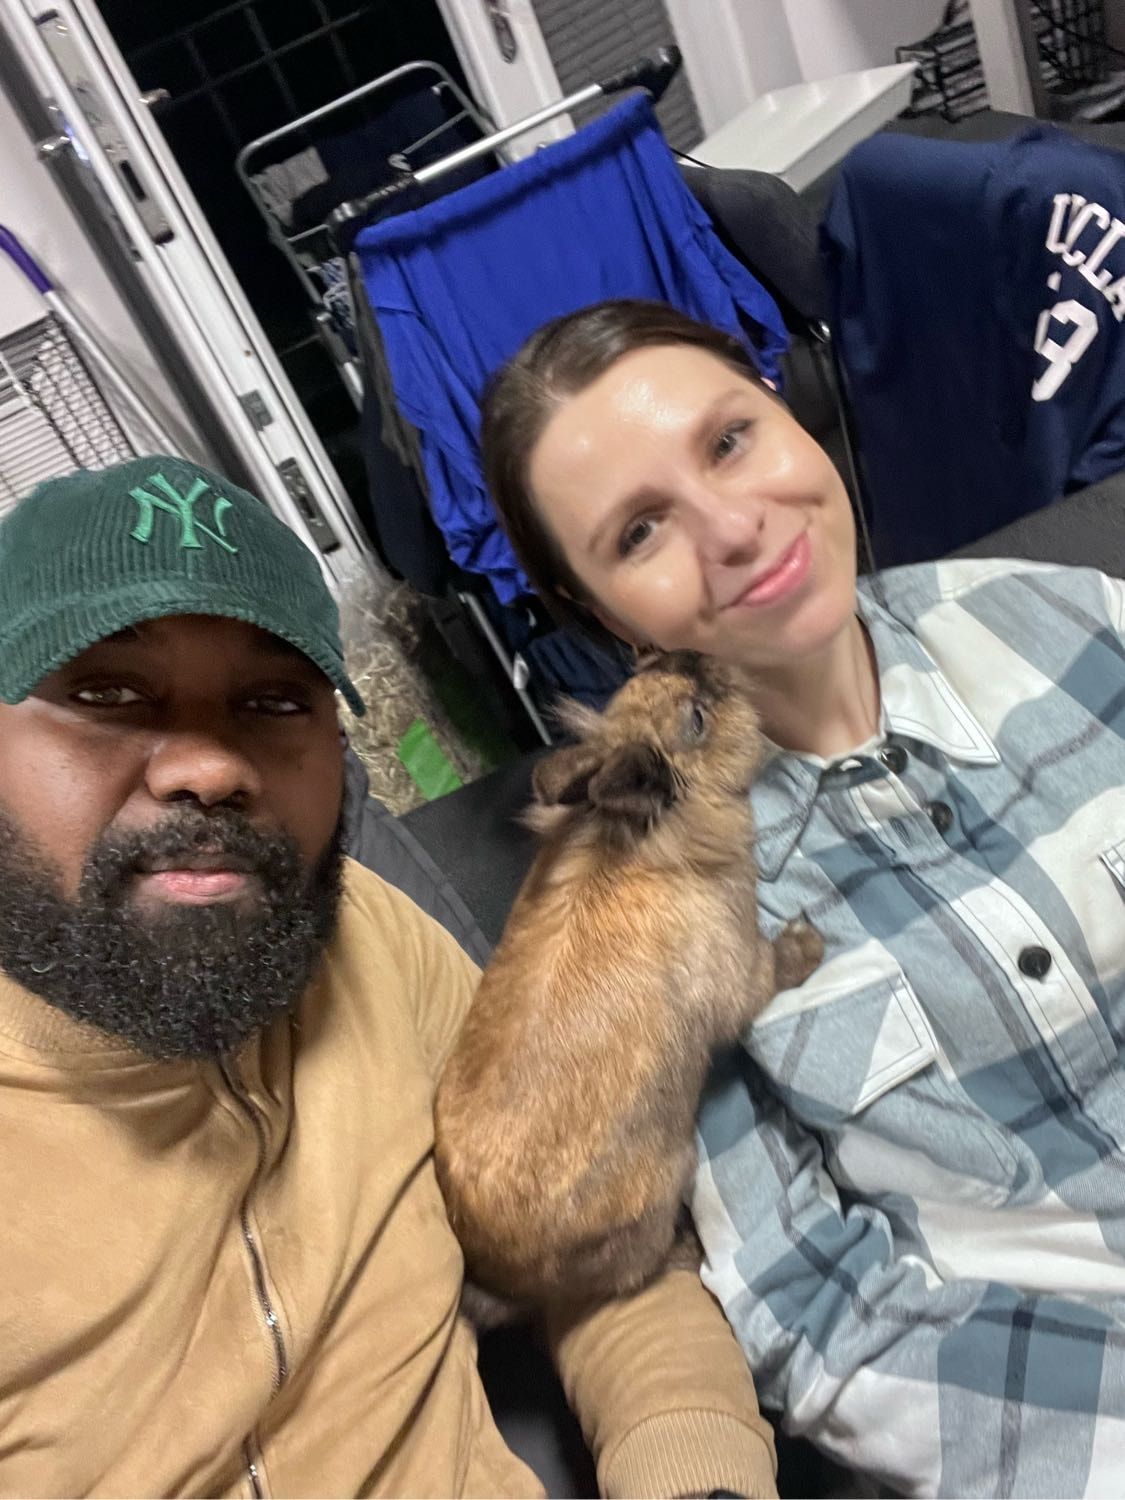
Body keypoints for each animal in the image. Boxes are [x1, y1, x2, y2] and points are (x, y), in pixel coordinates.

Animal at [434, 650, 822, 1308]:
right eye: (696, 719)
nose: (703, 658)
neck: (647, 838)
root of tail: (497, 1272)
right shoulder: (742, 973)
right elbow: (772, 973)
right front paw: (811, 944)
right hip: (665, 1190)